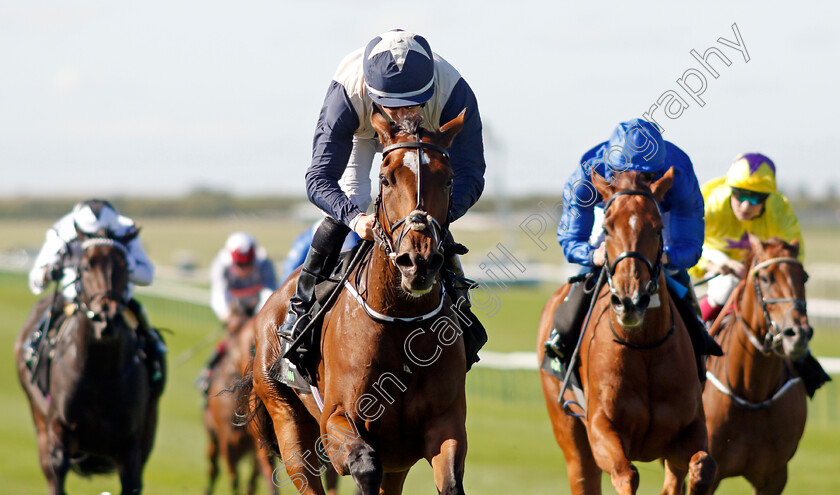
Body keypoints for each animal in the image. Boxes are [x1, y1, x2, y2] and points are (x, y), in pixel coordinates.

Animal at [15, 230, 164, 495]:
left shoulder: (130, 446)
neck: (99, 373)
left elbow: (132, 480)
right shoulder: (59, 433)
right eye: (85, 265)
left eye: (125, 266)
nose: (107, 318)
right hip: (38, 420)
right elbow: (57, 471)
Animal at [240, 109, 470, 495]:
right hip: (288, 422)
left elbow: (451, 481)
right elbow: (364, 463)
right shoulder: (337, 419)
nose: (418, 262)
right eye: (387, 178)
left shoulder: (443, 424)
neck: (401, 322)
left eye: (449, 179)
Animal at [540, 171, 716, 495]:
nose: (630, 301)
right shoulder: (601, 427)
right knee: (583, 474)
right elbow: (626, 474)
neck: (645, 347)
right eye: (606, 229)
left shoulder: (688, 428)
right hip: (568, 429)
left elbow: (703, 467)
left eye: (658, 228)